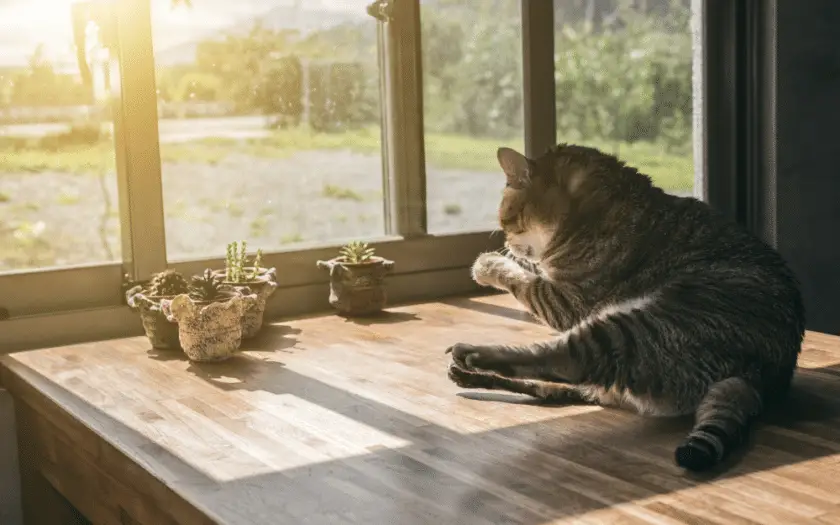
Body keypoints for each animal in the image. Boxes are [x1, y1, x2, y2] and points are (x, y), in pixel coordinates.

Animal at [446, 142, 808, 470]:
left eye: (507, 221)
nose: (506, 242)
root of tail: (760, 376)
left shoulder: (565, 300)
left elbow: (522, 279)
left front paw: (487, 264)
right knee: (556, 386)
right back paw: (468, 376)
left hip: (630, 330)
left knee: (559, 361)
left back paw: (474, 356)